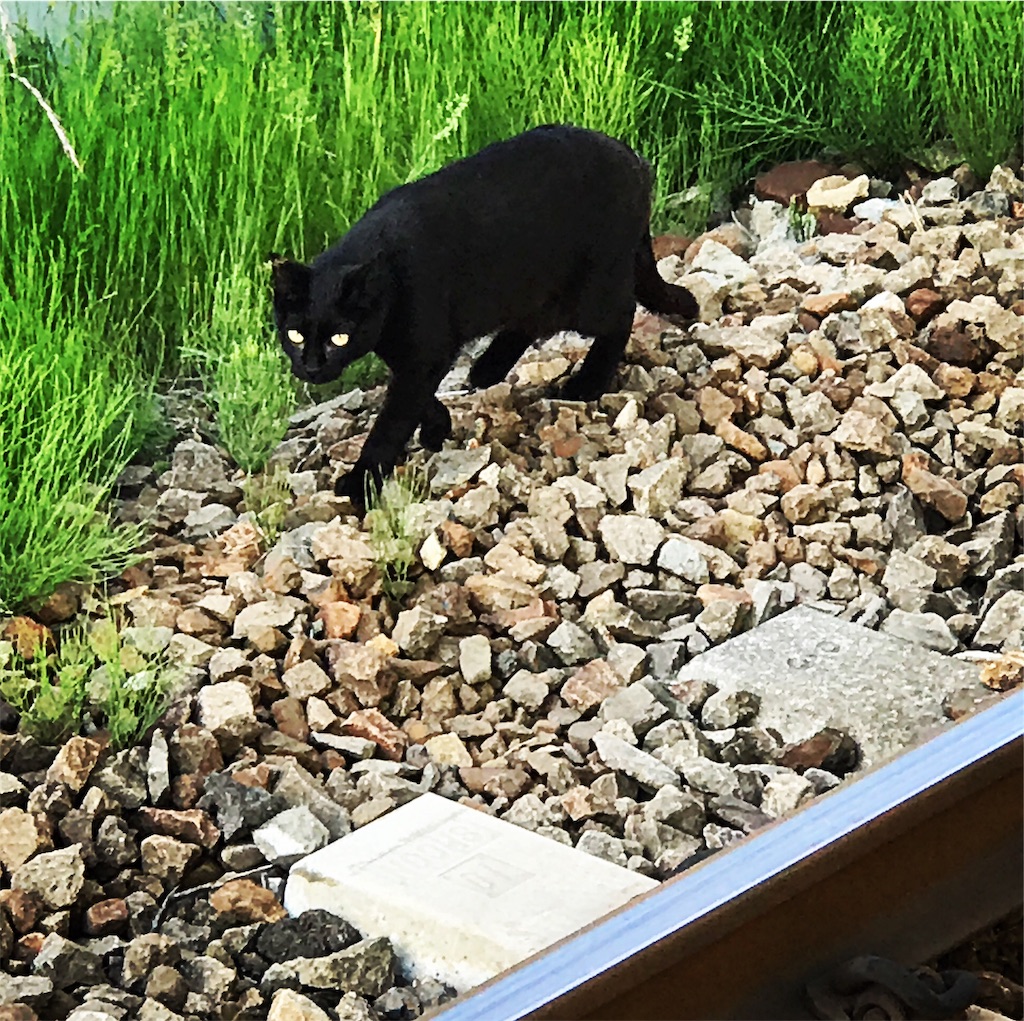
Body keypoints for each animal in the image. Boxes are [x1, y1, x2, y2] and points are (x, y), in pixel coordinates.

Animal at [272, 125, 700, 507]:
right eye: (294, 335)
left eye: (338, 338)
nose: (312, 367)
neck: (388, 276)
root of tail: (632, 158)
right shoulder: (412, 356)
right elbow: (414, 399)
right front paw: (437, 427)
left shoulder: (424, 352)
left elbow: (392, 420)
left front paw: (361, 481)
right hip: (536, 287)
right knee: (536, 321)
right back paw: (487, 368)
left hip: (587, 293)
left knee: (621, 313)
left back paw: (586, 383)